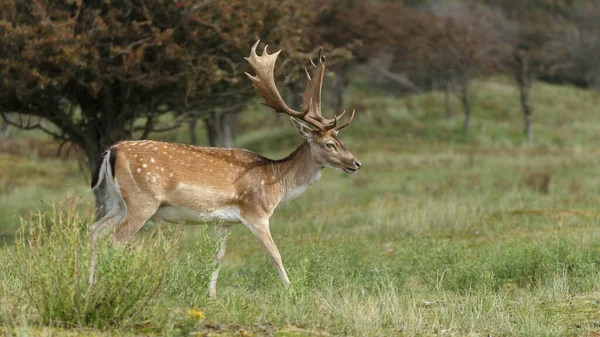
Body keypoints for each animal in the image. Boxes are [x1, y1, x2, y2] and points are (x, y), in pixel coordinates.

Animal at [88, 40, 360, 296]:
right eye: (329, 144)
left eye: (340, 139)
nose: (356, 163)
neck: (276, 181)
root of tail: (112, 151)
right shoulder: (256, 213)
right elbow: (275, 254)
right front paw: (291, 291)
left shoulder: (224, 221)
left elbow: (218, 256)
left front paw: (211, 295)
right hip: (141, 201)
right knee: (115, 239)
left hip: (117, 202)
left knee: (94, 230)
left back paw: (89, 284)